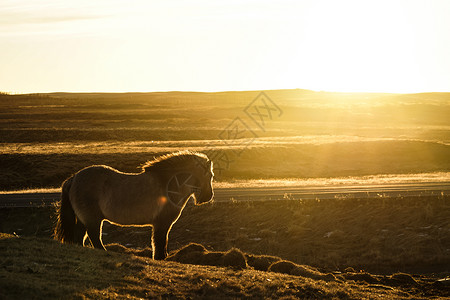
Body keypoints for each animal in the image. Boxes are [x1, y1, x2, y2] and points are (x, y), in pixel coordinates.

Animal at [52, 151, 214, 258]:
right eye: (210, 175)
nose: (209, 197)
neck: (168, 185)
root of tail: (74, 178)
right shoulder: (162, 224)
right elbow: (160, 245)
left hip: (82, 220)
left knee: (80, 237)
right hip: (93, 220)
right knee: (94, 238)